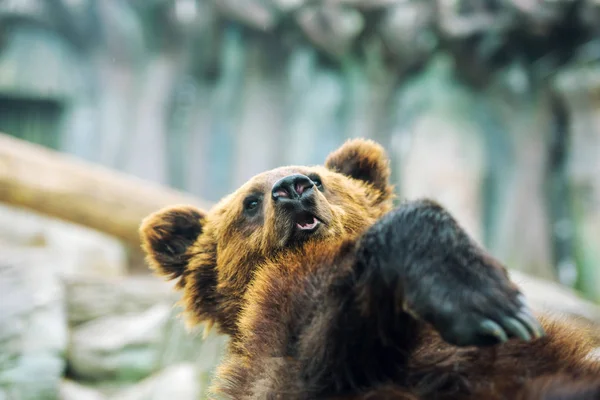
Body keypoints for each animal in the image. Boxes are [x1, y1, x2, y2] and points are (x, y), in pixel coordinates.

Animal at [139, 138, 600, 400]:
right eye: (249, 202)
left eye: (318, 179)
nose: (292, 187)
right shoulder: (281, 345)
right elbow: (312, 352)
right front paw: (489, 306)